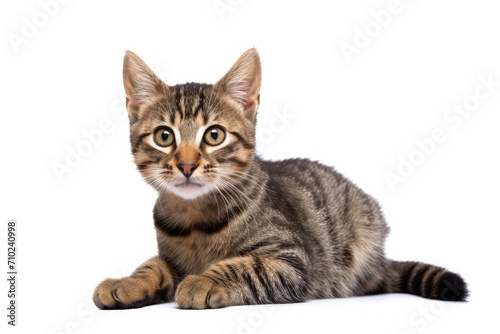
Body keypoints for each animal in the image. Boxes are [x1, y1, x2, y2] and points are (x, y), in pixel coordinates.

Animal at [92, 48, 466, 310]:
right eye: (164, 136)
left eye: (214, 135)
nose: (186, 165)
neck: (195, 218)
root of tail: (381, 260)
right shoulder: (171, 259)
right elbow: (153, 265)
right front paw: (127, 282)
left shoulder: (292, 261)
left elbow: (245, 266)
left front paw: (204, 281)